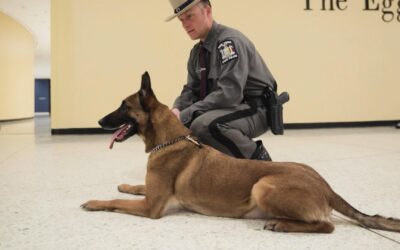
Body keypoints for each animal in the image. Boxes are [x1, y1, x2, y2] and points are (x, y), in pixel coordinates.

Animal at [82, 71, 400, 233]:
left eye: (124, 106)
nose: (98, 121)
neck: (170, 140)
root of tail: (327, 186)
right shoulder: (151, 192)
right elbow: (135, 187)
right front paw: (125, 184)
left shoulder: (151, 207)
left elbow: (114, 201)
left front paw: (94, 202)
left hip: (262, 186)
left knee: (327, 225)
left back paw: (281, 224)